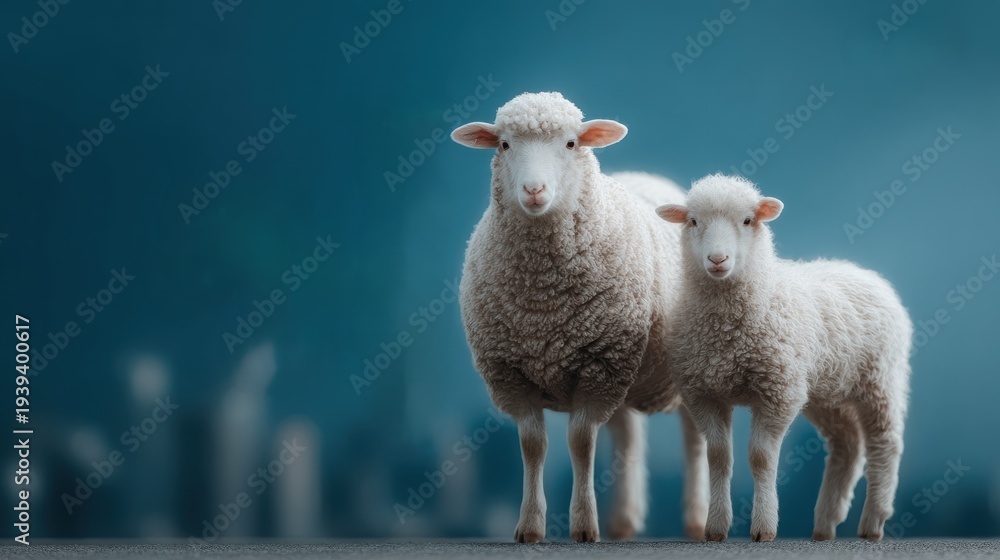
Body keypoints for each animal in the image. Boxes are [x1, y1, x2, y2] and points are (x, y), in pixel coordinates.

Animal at [451, 92, 708, 543]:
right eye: (504, 144)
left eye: (571, 144)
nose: (534, 189)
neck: (543, 300)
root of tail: (649, 177)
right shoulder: (512, 375)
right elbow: (533, 446)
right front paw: (530, 527)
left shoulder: (599, 368)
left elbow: (581, 443)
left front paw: (584, 526)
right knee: (627, 436)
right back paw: (623, 521)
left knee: (695, 439)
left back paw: (696, 520)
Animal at [655, 174, 912, 542]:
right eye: (692, 222)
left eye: (748, 221)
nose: (717, 259)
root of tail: (864, 273)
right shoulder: (704, 393)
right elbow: (719, 457)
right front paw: (716, 527)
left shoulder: (777, 391)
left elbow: (761, 458)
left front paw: (764, 528)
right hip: (824, 392)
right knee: (847, 444)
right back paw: (824, 524)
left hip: (880, 379)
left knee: (884, 444)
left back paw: (873, 522)